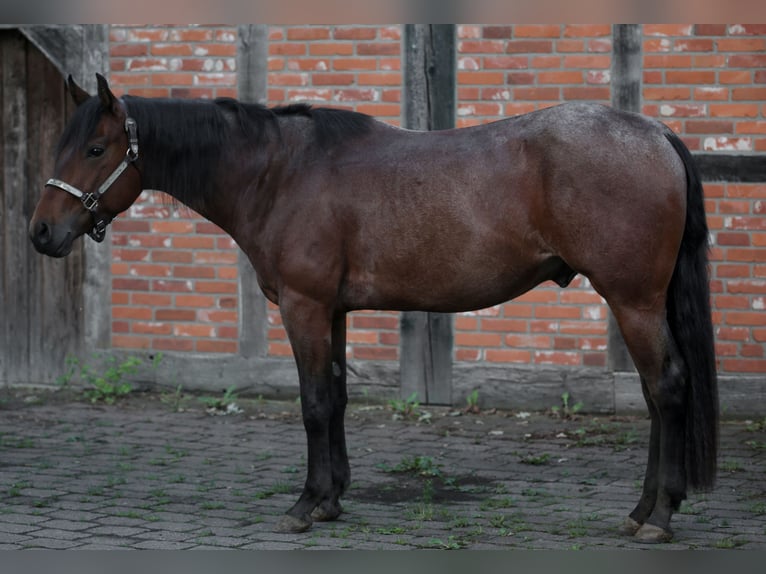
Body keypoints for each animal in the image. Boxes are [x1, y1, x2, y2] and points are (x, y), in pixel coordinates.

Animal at [29, 73, 718, 543]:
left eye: (95, 149)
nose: (40, 233)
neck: (278, 173)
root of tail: (655, 134)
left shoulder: (304, 308)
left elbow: (312, 404)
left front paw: (305, 505)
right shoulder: (331, 312)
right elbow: (335, 397)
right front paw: (332, 499)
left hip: (632, 300)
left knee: (667, 389)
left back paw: (659, 516)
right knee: (655, 396)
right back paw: (642, 511)